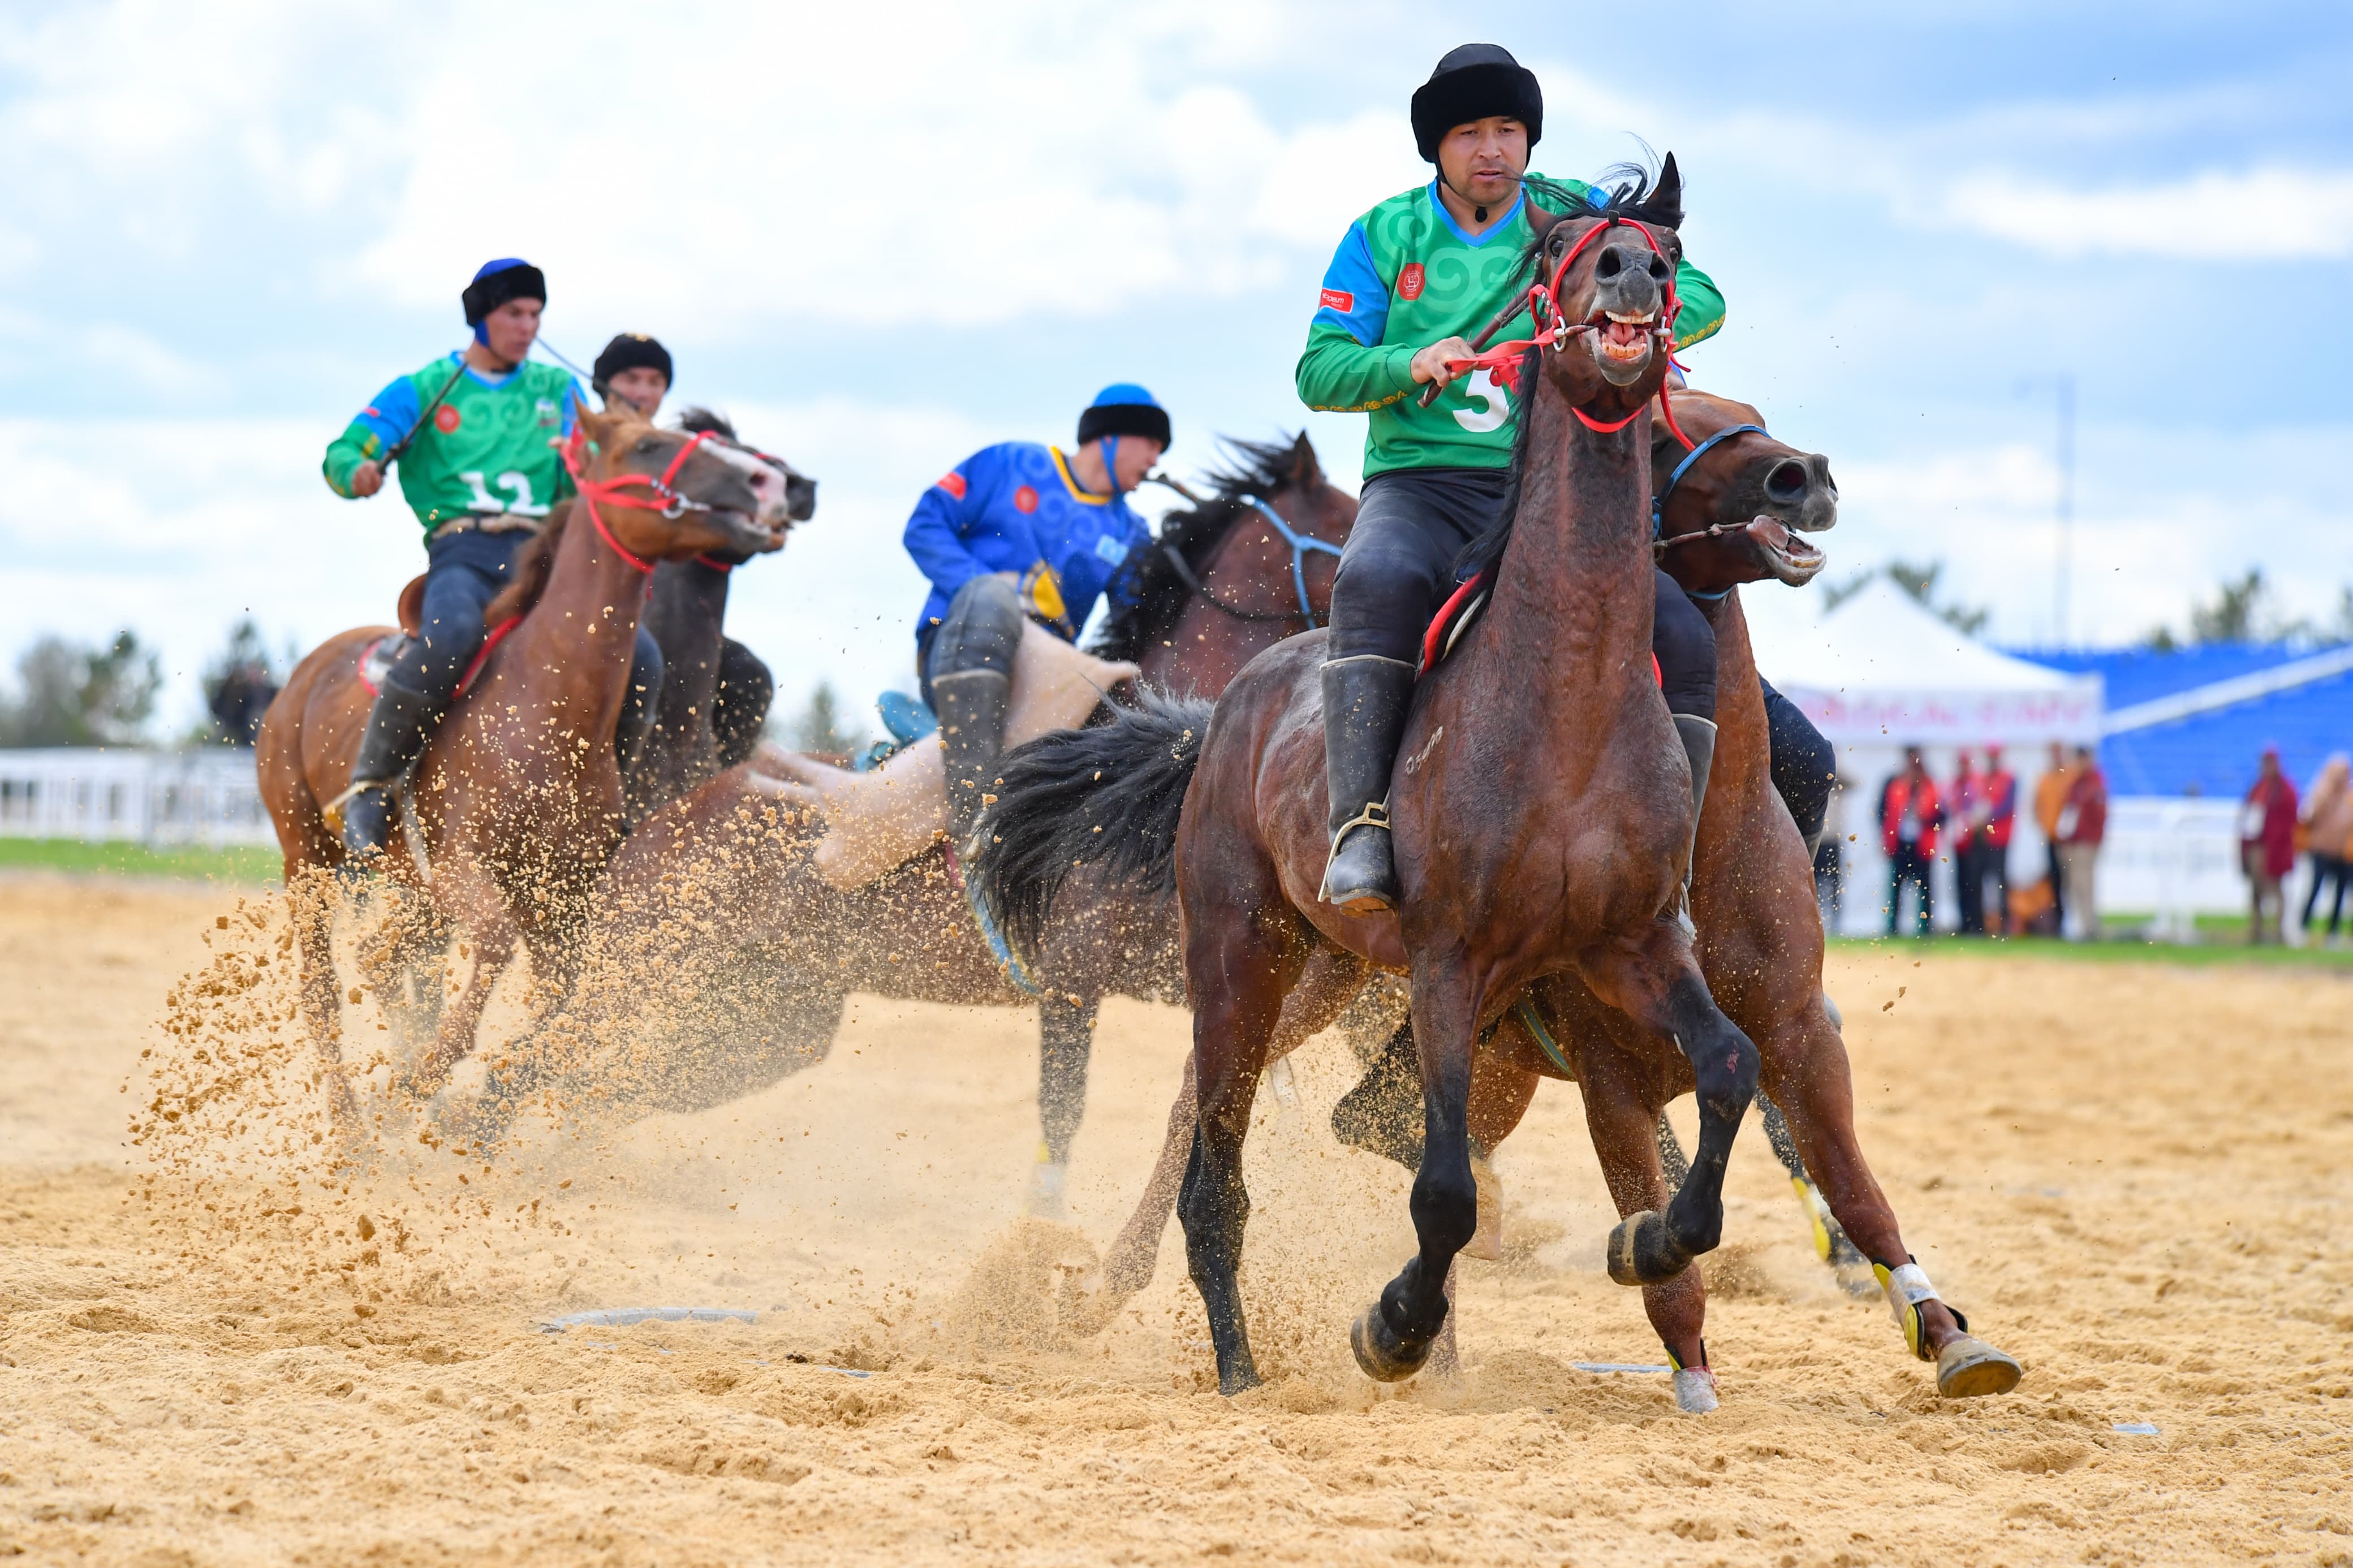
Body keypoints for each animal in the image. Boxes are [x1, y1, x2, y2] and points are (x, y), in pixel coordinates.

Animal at [254, 404, 795, 1133]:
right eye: (649, 445)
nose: (769, 482)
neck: (547, 707)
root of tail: (304, 676)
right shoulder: (468, 869)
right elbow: (490, 956)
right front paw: (423, 1083)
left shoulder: (558, 901)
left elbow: (558, 1008)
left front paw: (453, 1099)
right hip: (308, 855)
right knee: (322, 990)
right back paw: (354, 1128)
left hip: (412, 887)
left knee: (379, 957)